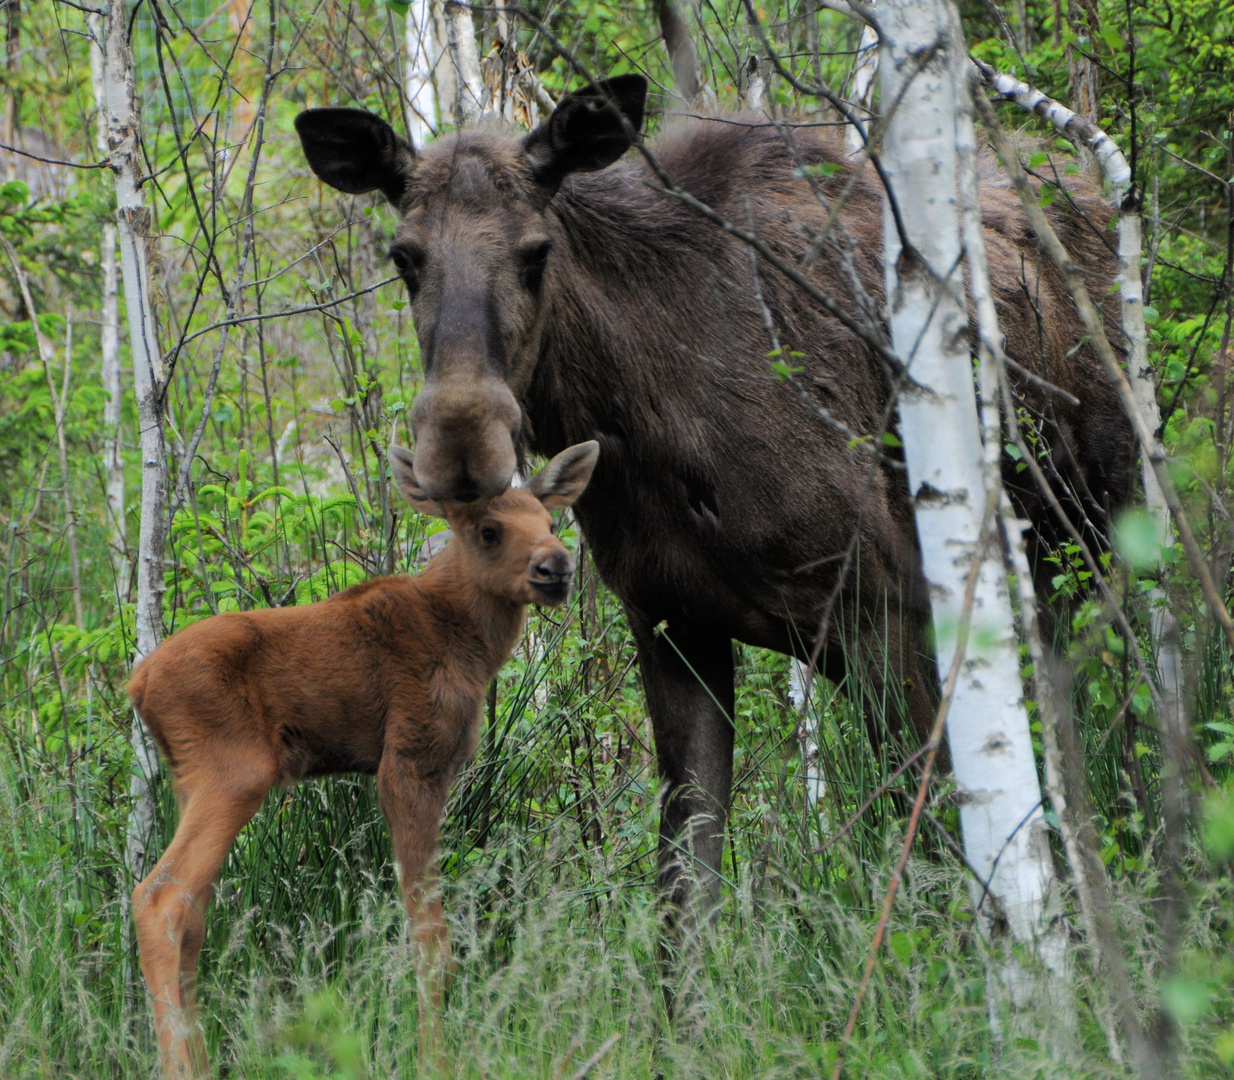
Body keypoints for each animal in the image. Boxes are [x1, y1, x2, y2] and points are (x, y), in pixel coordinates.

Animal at [127, 439, 599, 1080]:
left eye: (549, 523)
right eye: (489, 530)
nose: (557, 567)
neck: (471, 643)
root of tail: (138, 683)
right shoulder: (408, 761)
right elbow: (431, 942)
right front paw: (434, 1061)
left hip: (190, 780)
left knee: (193, 918)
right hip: (235, 772)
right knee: (160, 898)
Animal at [296, 75, 1130, 918]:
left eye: (537, 251)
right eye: (404, 256)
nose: (461, 448)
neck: (646, 419)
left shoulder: (885, 609)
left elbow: (936, 854)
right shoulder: (673, 629)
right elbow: (683, 893)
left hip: (1094, 535)